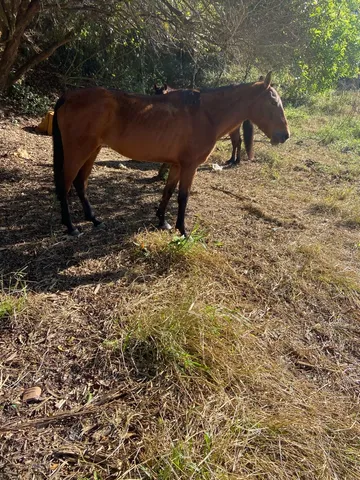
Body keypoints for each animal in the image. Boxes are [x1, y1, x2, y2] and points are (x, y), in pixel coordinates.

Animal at [52, 72, 290, 237]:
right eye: (272, 102)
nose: (285, 135)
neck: (205, 113)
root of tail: (68, 96)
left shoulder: (177, 165)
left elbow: (167, 191)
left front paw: (162, 221)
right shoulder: (190, 166)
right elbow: (183, 196)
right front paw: (182, 230)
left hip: (92, 151)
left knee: (80, 183)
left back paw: (94, 219)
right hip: (78, 152)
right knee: (65, 185)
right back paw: (71, 227)